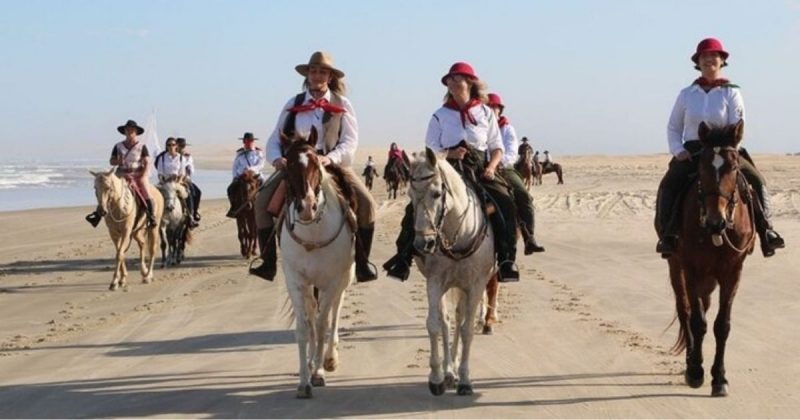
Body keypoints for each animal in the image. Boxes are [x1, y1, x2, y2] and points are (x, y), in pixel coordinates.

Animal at [282, 130, 356, 398]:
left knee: (334, 312)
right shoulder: (296, 282)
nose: (307, 207)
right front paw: (304, 381)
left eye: (316, 163)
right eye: (288, 165)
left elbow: (324, 323)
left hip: (344, 279)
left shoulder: (331, 280)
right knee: (314, 313)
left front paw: (319, 373)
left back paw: (329, 358)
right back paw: (314, 358)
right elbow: (305, 328)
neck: (313, 232)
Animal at [410, 148, 496, 398]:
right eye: (410, 195)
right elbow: (434, 325)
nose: (423, 243)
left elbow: (467, 330)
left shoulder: (475, 285)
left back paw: (456, 370)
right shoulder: (434, 282)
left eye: (437, 193)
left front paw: (465, 379)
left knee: (460, 319)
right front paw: (437, 377)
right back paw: (449, 372)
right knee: (449, 321)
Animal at [668, 119, 756, 398]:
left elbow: (721, 325)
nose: (715, 222)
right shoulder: (691, 268)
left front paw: (719, 378)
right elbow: (697, 321)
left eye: (734, 167)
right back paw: (690, 360)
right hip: (676, 267)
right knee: (685, 310)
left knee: (704, 307)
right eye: (702, 166)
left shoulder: (733, 272)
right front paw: (696, 371)